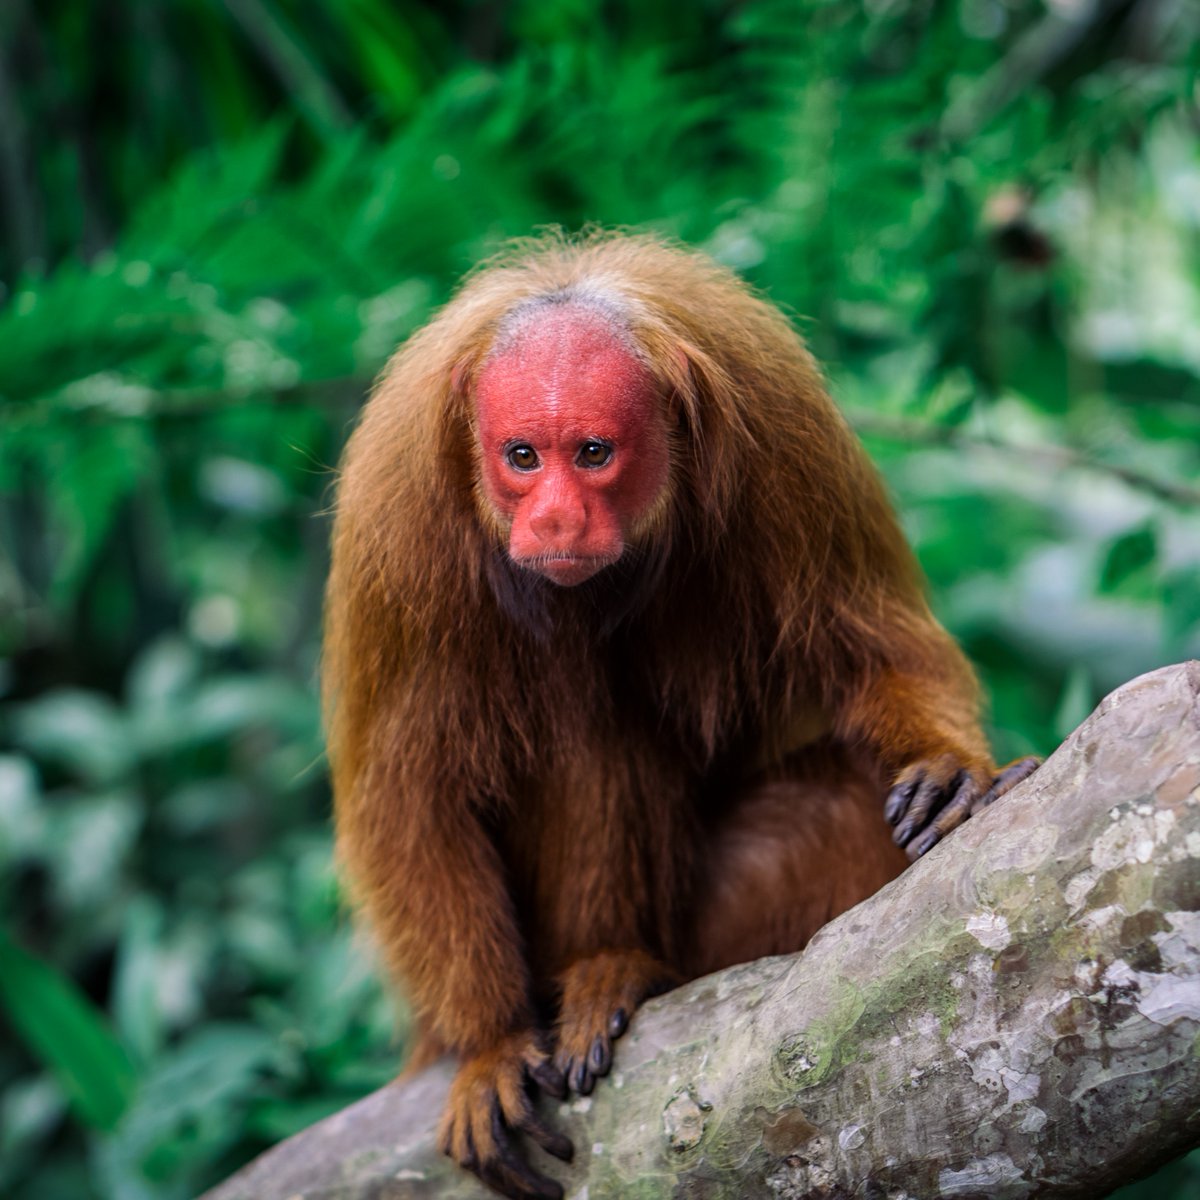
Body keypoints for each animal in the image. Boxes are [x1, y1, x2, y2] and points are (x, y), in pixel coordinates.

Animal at [323, 231, 1038, 1200]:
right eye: (521, 458)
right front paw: (492, 1044)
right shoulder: (396, 515)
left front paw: (949, 766)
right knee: (578, 723)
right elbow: (406, 795)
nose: (555, 517)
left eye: (592, 453)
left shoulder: (782, 431)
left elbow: (878, 645)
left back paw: (618, 970)